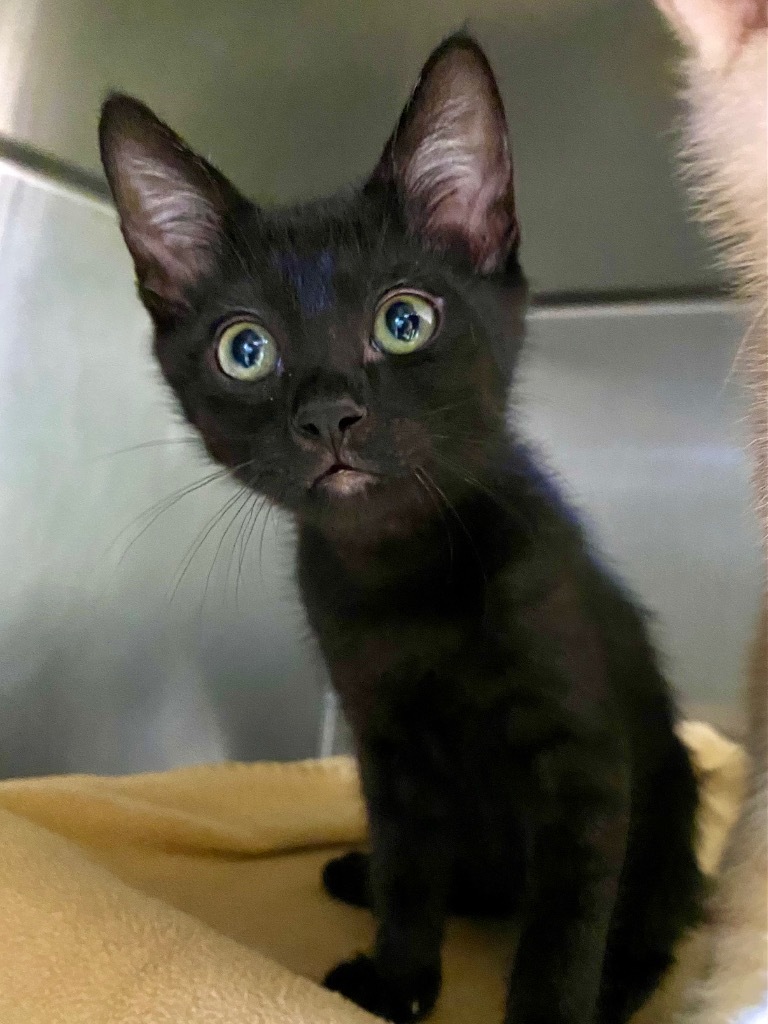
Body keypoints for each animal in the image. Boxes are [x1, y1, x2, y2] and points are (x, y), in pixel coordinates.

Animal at [99, 32, 708, 1024]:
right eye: (245, 350)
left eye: (404, 321)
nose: (328, 416)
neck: (401, 571)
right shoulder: (388, 752)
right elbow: (412, 874)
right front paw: (396, 980)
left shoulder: (583, 760)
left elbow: (566, 922)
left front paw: (550, 1007)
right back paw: (360, 875)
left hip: (670, 807)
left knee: (652, 918)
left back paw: (624, 981)